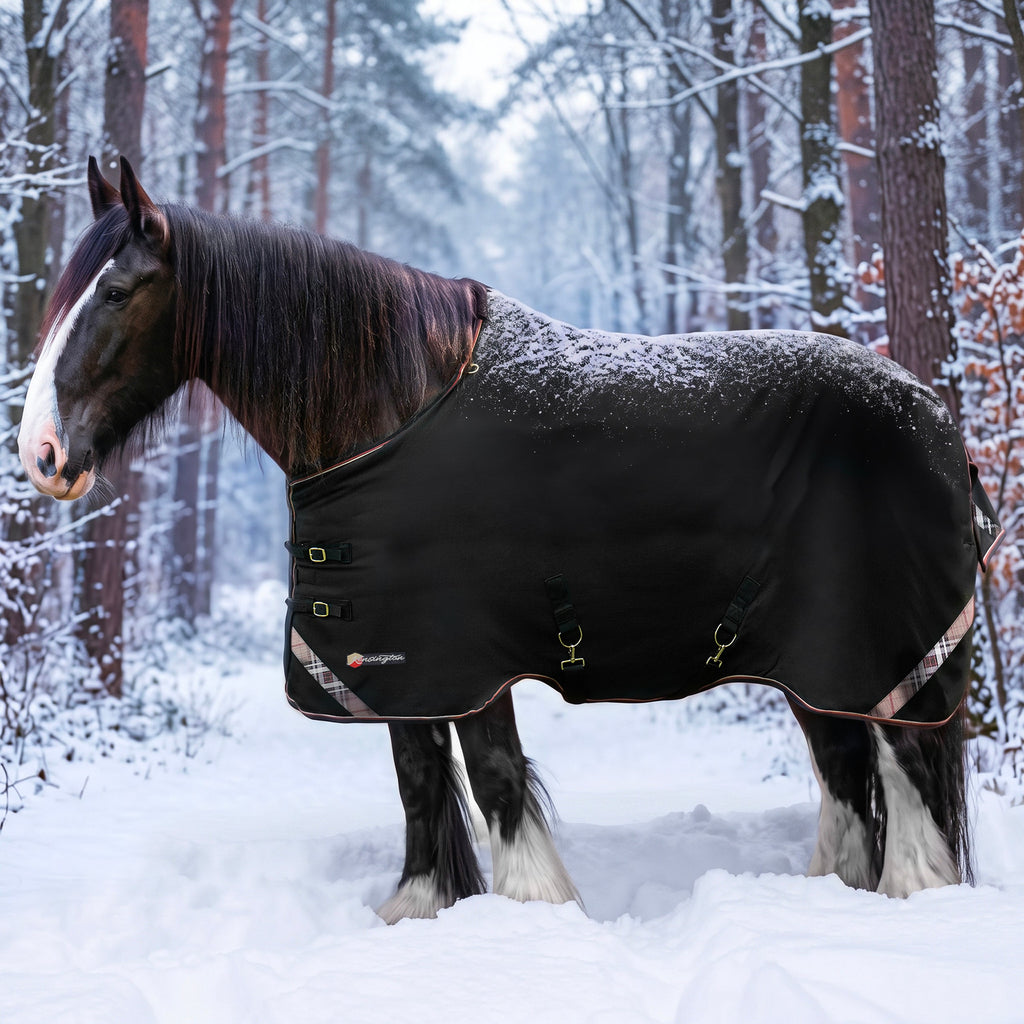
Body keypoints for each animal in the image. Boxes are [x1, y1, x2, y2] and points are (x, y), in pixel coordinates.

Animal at [18, 158, 999, 922]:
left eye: (114, 291)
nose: (42, 455)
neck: (394, 407)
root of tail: (937, 417)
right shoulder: (402, 660)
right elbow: (418, 777)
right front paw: (420, 909)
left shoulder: (468, 654)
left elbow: (491, 779)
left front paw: (531, 913)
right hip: (817, 667)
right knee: (846, 776)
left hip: (879, 657)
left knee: (903, 778)